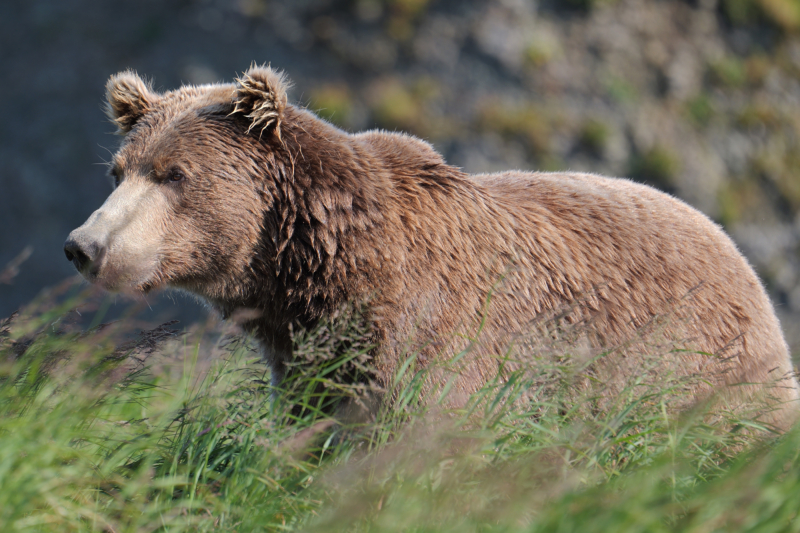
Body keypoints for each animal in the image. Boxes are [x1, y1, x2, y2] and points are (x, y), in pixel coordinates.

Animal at [64, 62, 800, 428]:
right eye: (118, 170)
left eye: (175, 174)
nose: (84, 244)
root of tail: (739, 257)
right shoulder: (312, 358)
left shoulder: (435, 329)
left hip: (697, 364)